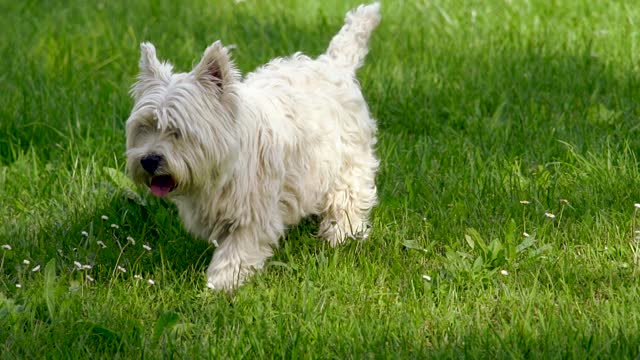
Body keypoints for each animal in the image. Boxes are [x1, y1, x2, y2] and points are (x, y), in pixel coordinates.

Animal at [127, 2, 382, 290]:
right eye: (145, 126)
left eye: (177, 131)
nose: (149, 161)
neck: (224, 166)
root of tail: (333, 65)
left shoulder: (253, 212)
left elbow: (236, 250)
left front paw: (220, 284)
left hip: (348, 161)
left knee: (348, 197)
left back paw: (341, 235)